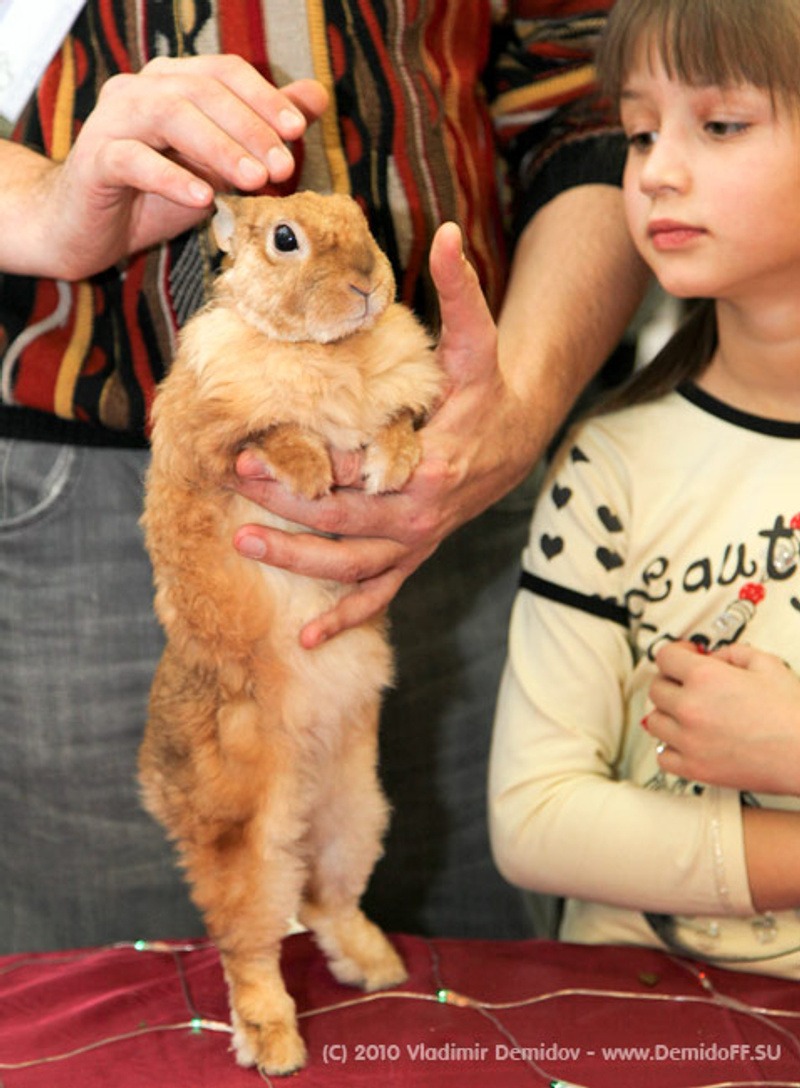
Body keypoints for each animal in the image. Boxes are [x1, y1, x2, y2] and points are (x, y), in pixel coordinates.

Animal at [138, 191, 443, 1076]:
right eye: (285, 239)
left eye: (362, 217)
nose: (367, 285)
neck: (323, 349)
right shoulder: (216, 439)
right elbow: (270, 435)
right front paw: (311, 473)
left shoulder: (404, 400)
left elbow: (397, 423)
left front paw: (389, 468)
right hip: (250, 836)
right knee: (250, 945)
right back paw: (275, 1043)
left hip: (356, 815)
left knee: (326, 901)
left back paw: (380, 966)